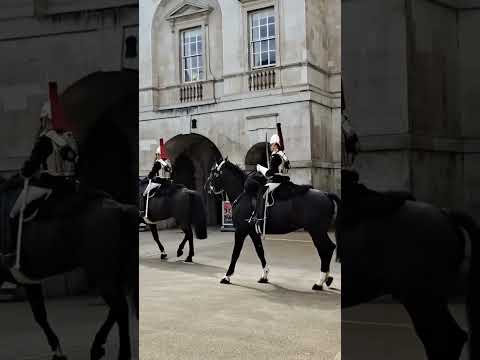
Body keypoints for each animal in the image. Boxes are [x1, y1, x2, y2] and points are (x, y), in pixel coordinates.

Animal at [0, 176, 139, 360]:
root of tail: (122, 209)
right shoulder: (30, 280)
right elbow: (40, 315)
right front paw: (57, 351)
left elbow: (39, 316)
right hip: (117, 272)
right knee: (117, 309)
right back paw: (98, 346)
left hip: (103, 274)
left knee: (120, 308)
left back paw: (119, 353)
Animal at [207, 158, 342, 290]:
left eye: (213, 173)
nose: (207, 188)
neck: (243, 194)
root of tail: (326, 194)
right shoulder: (252, 232)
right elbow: (260, 251)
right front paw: (264, 275)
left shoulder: (241, 231)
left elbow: (235, 253)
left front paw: (227, 276)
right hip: (318, 231)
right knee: (327, 249)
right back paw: (327, 279)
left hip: (316, 231)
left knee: (326, 249)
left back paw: (320, 282)